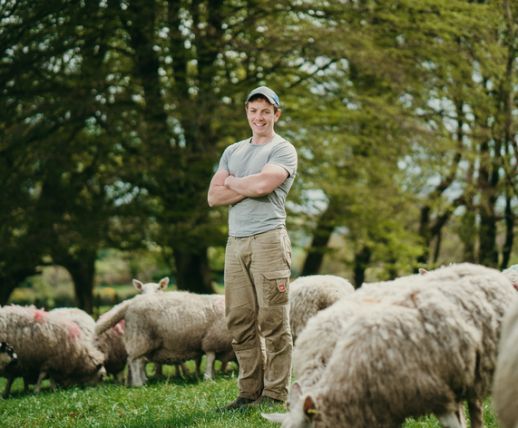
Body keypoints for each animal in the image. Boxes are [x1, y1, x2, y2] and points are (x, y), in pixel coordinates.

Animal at [95, 290, 236, 384]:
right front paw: (208, 378)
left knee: (139, 361)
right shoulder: (212, 340)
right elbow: (211, 359)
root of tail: (131, 302)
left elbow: (211, 361)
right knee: (133, 361)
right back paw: (138, 383)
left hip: (145, 342)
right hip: (139, 337)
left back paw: (143, 380)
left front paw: (211, 375)